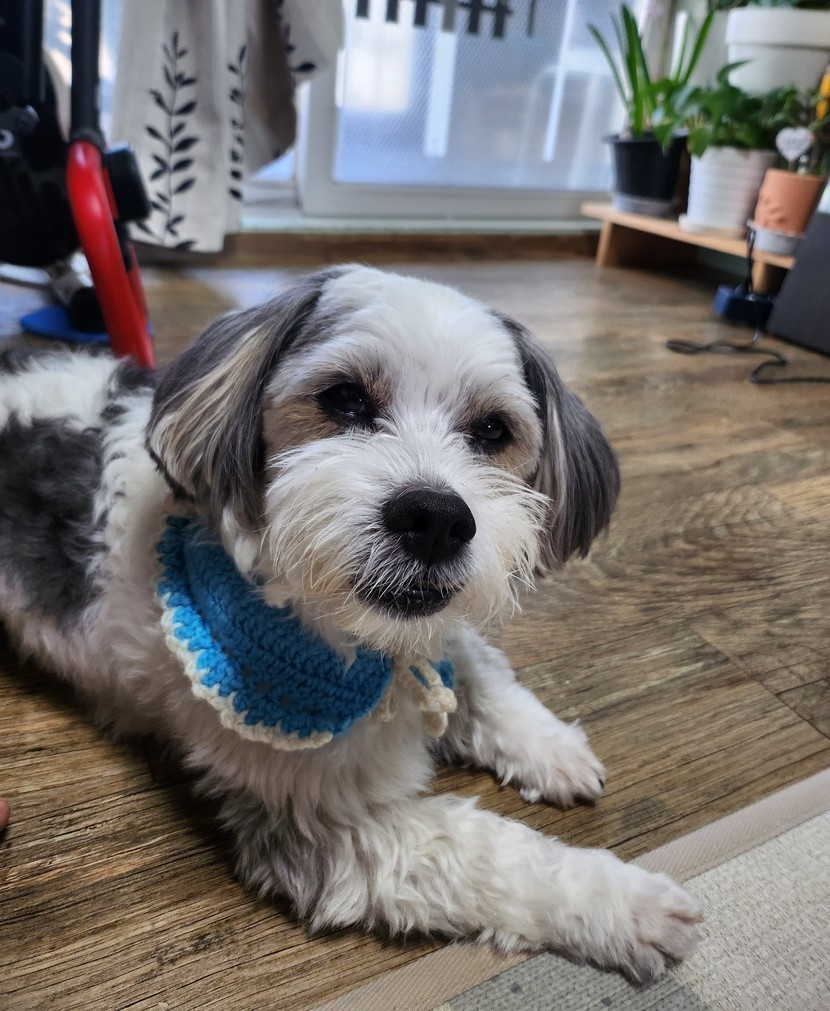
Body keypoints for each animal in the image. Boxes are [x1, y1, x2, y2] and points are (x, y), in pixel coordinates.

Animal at [0, 265, 699, 980]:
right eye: (344, 399)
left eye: (493, 431)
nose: (435, 517)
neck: (357, 644)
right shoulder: (328, 824)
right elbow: (489, 857)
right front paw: (623, 902)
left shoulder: (431, 640)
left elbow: (481, 677)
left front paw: (552, 747)